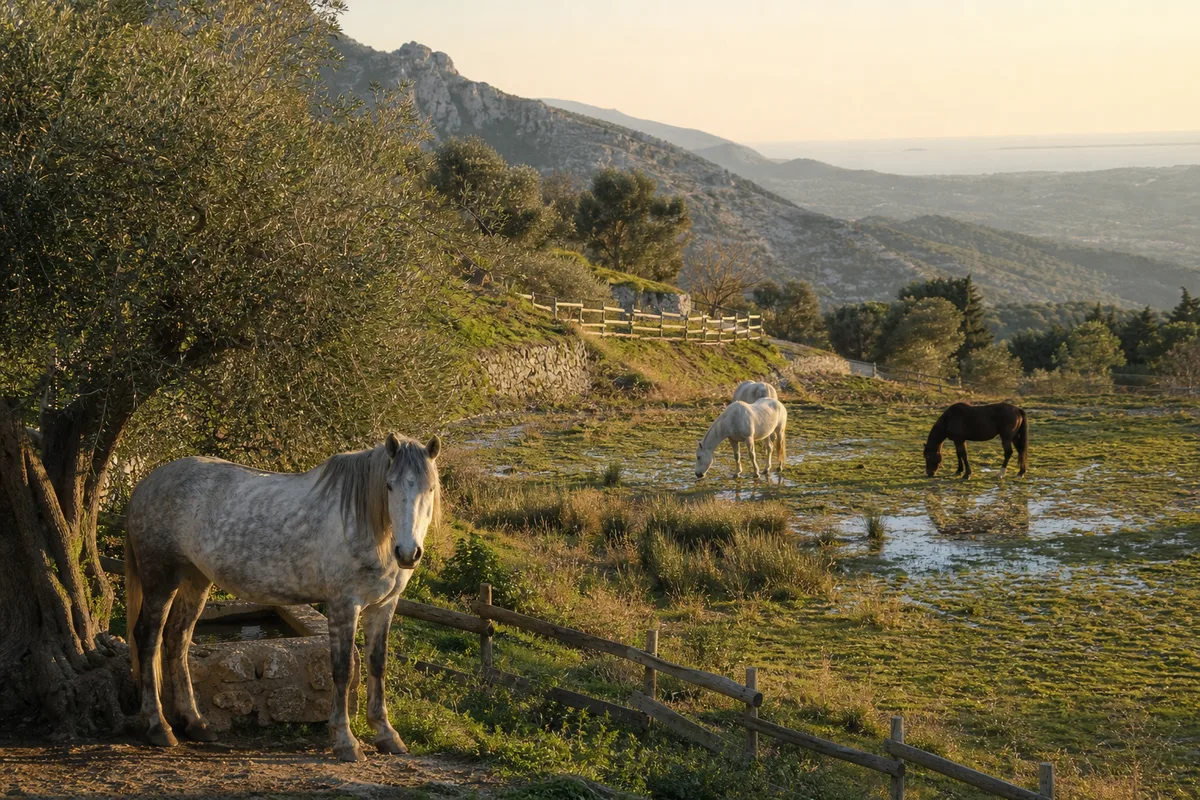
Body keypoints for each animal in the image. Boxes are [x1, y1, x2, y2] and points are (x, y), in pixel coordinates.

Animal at [124, 434, 441, 762]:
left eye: (430, 488)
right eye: (389, 486)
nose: (408, 553)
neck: (363, 524)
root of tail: (147, 483)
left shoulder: (383, 606)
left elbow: (377, 665)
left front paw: (386, 734)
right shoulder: (344, 605)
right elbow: (343, 669)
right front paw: (344, 739)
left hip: (195, 579)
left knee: (178, 639)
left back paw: (196, 723)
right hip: (161, 580)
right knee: (148, 639)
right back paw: (158, 726)